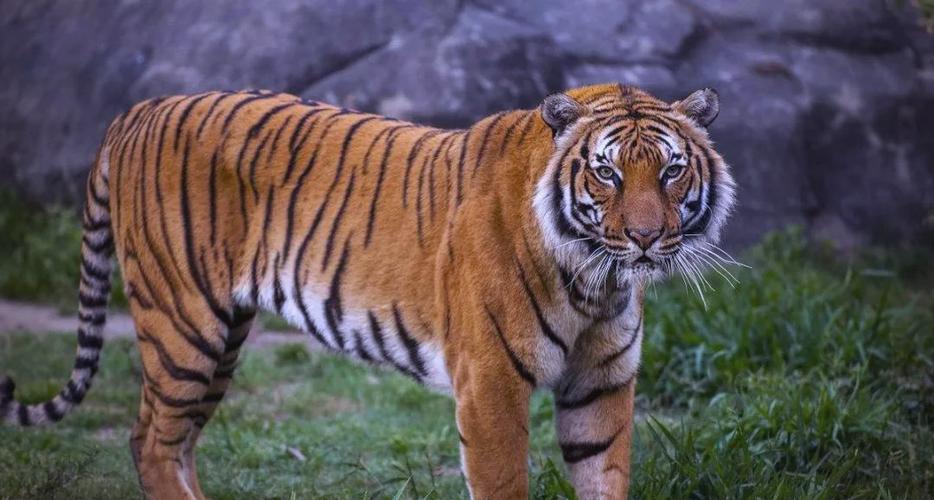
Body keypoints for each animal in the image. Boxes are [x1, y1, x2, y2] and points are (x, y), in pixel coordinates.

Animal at [0, 83, 734, 499]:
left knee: (170, 442)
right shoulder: (490, 382)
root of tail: (137, 110)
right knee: (150, 441)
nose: (645, 238)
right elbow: (502, 481)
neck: (596, 279)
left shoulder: (600, 382)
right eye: (607, 173)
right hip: (183, 325)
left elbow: (605, 478)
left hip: (221, 337)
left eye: (671, 170)